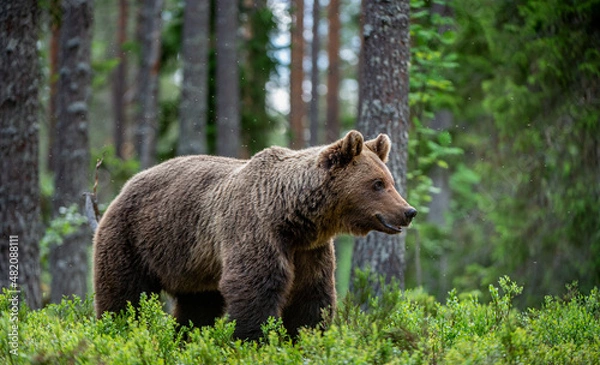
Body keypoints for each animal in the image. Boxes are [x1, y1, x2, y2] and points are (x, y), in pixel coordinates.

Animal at [95, 130, 418, 338]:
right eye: (377, 184)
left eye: (390, 180)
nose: (408, 211)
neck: (293, 217)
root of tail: (126, 184)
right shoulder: (254, 229)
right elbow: (256, 287)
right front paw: (254, 339)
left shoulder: (309, 250)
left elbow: (312, 295)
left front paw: (306, 338)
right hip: (133, 237)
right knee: (122, 294)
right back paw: (115, 329)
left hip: (194, 266)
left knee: (197, 306)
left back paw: (186, 338)